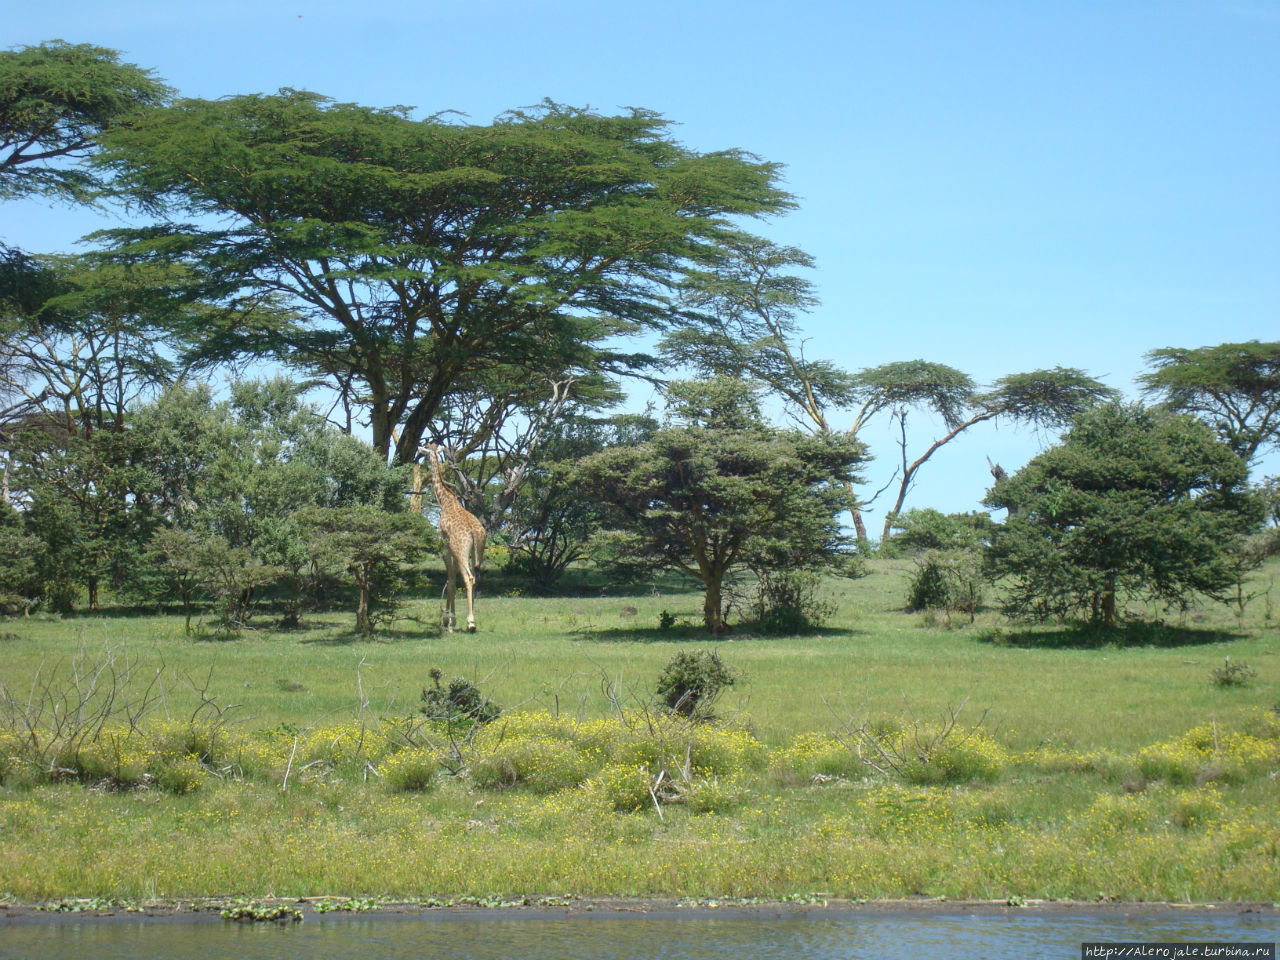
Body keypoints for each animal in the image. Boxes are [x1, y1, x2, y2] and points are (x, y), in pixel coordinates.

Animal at [419, 445, 483, 640]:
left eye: (423, 454)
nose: (420, 463)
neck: (445, 501)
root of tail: (474, 531)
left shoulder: (445, 548)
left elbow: (451, 582)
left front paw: (449, 622)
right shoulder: (453, 552)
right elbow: (452, 581)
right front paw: (450, 620)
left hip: (462, 552)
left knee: (468, 578)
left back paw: (471, 622)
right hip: (477, 553)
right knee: (476, 578)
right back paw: (472, 619)